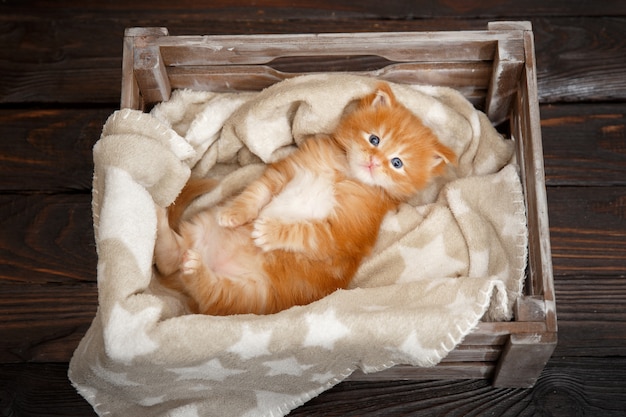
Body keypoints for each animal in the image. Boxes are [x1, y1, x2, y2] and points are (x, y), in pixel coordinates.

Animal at [152, 82, 454, 316]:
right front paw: (236, 213)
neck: (343, 172)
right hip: (203, 226)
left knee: (208, 290)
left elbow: (308, 233)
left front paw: (268, 231)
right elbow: (257, 191)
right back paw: (159, 218)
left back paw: (194, 267)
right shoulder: (285, 172)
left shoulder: (345, 232)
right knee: (169, 261)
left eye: (397, 163)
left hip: (250, 295)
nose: (374, 162)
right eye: (374, 139)